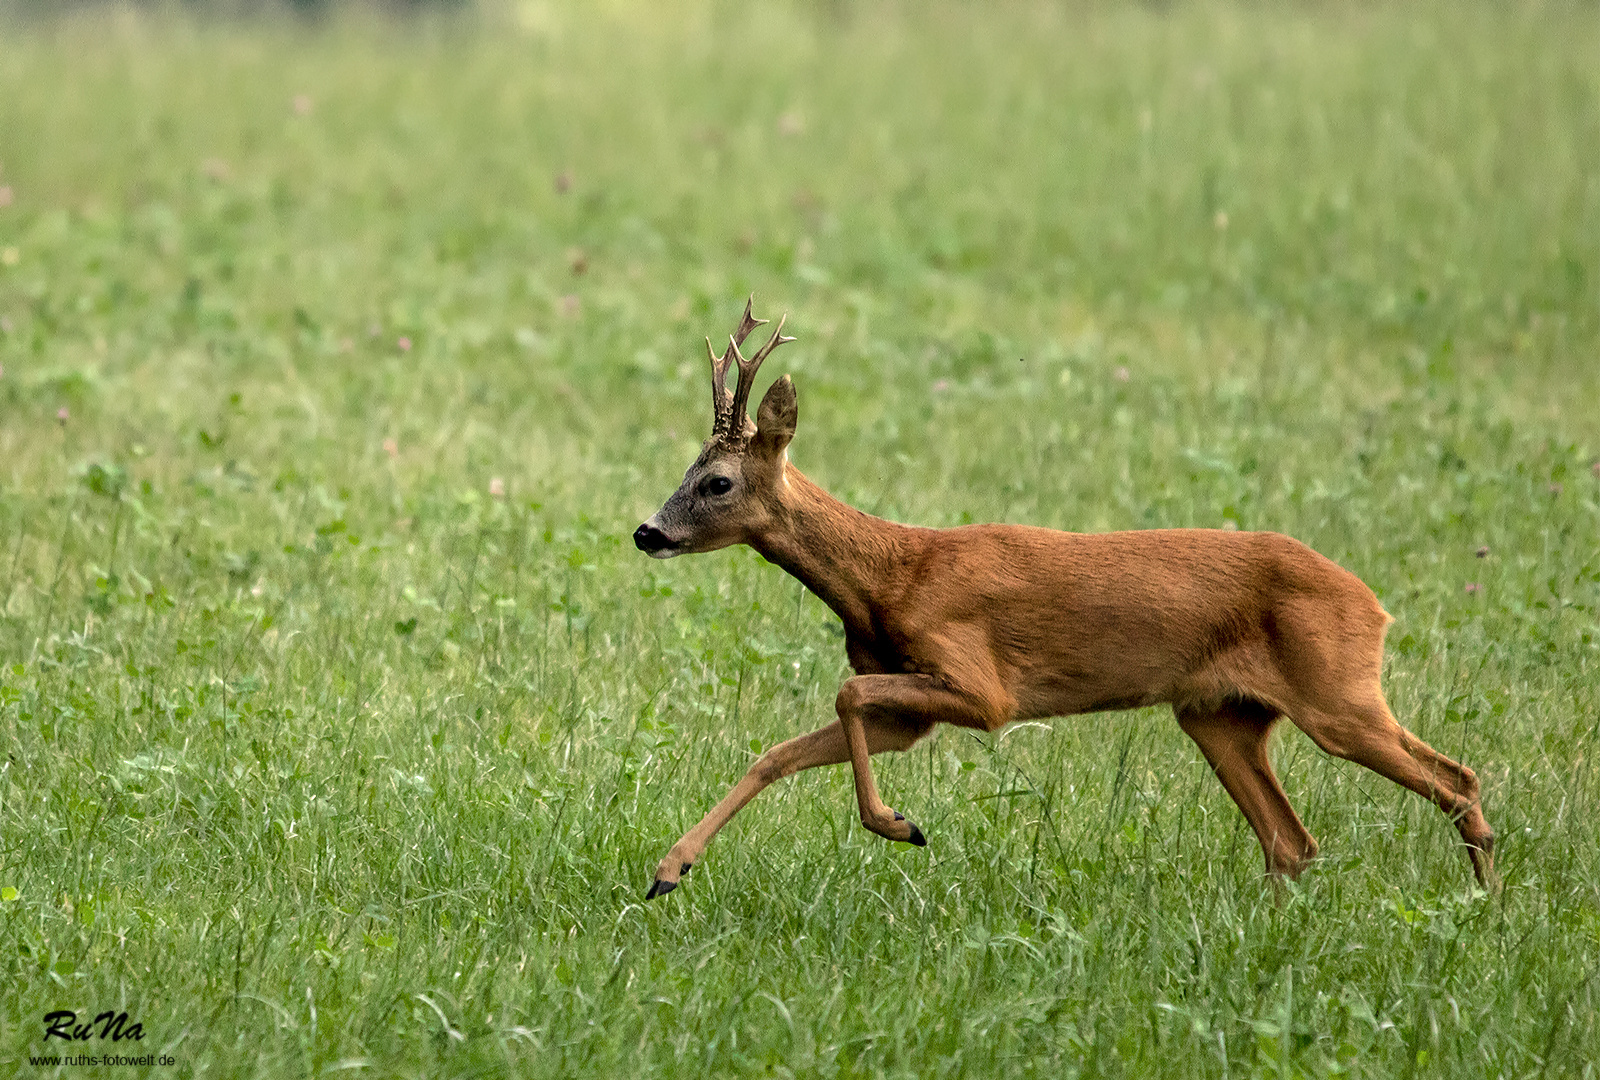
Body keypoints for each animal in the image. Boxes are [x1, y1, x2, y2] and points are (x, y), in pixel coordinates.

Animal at [630, 299, 1491, 902]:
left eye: (716, 482)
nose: (646, 531)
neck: (891, 576)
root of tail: (1374, 605)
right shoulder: (909, 711)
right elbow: (777, 752)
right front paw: (669, 869)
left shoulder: (982, 687)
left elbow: (845, 694)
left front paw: (899, 825)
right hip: (1221, 713)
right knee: (1292, 842)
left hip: (1336, 692)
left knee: (1457, 780)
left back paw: (1489, 907)